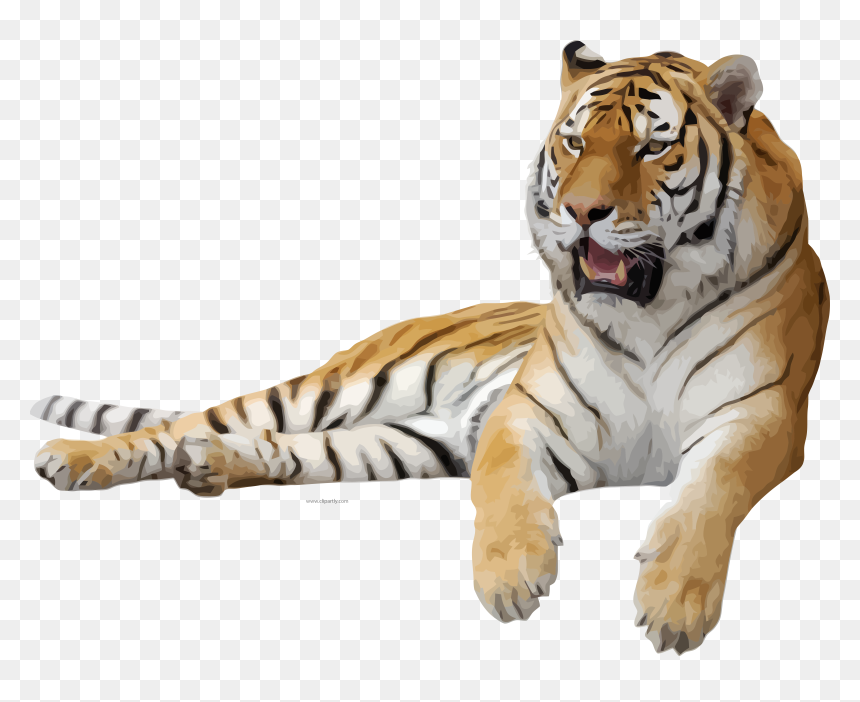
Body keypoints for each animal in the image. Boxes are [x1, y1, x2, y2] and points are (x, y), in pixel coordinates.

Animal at [31, 43, 829, 655]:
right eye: (575, 142)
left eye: (653, 145)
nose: (580, 212)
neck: (650, 313)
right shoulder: (523, 414)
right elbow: (504, 489)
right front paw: (510, 576)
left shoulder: (758, 417)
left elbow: (706, 496)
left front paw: (673, 603)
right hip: (334, 388)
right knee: (188, 422)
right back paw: (73, 458)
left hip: (404, 440)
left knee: (280, 450)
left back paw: (210, 467)